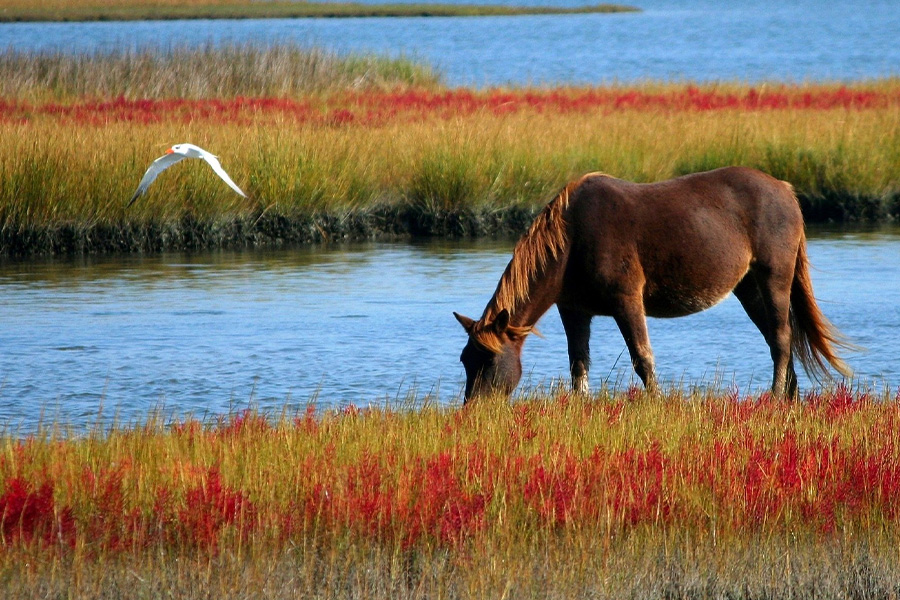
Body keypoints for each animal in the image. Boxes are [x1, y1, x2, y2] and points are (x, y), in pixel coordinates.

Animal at [454, 166, 852, 402]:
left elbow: (643, 359)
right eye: (465, 360)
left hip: (774, 277)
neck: (572, 238)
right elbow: (578, 364)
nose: (474, 410)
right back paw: (789, 396)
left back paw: (775, 397)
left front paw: (656, 404)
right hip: (749, 288)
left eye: (489, 360)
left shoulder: (627, 301)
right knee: (776, 338)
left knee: (782, 338)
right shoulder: (574, 310)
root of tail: (785, 190)